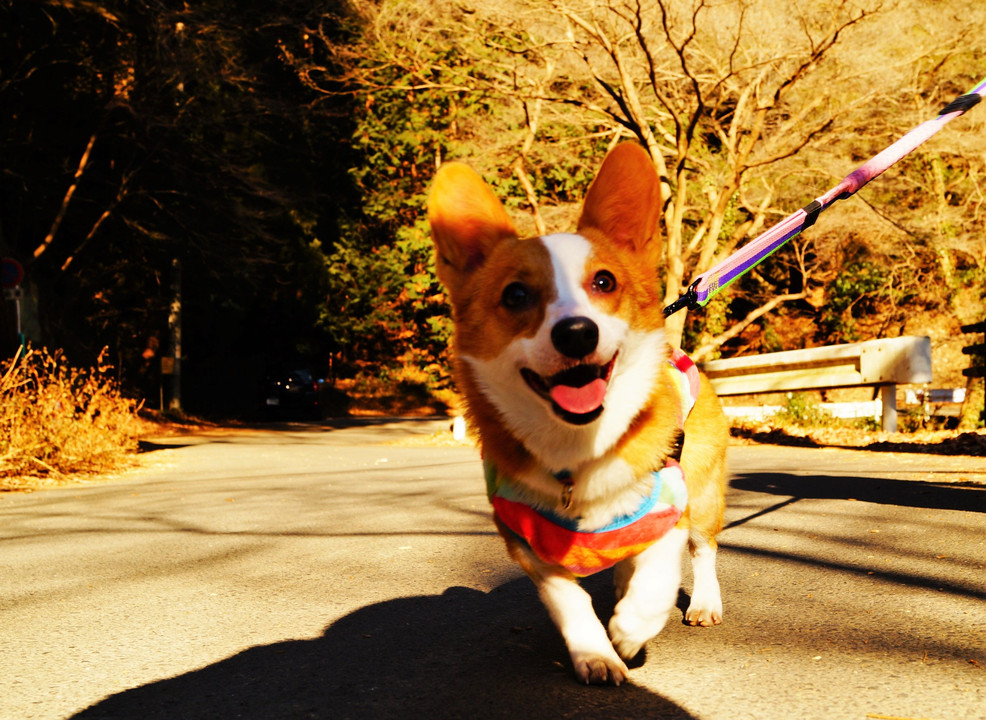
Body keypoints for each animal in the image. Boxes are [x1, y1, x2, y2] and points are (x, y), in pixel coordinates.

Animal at [426, 142, 728, 688]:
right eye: (515, 295)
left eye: (604, 281)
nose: (577, 333)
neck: (578, 447)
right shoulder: (527, 544)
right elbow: (569, 601)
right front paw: (596, 653)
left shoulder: (669, 508)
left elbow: (656, 580)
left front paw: (629, 631)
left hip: (703, 489)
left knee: (704, 549)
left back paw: (703, 603)